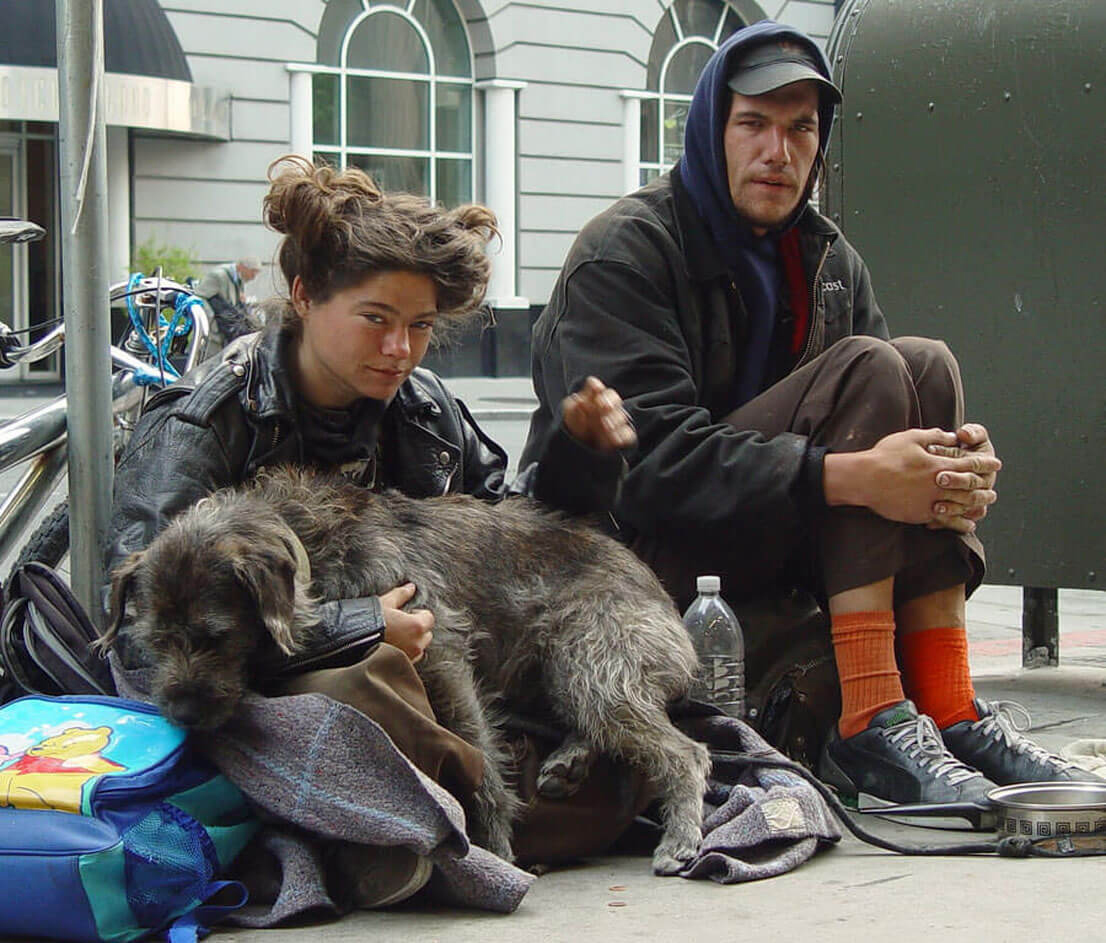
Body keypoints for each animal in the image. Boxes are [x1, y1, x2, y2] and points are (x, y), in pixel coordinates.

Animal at [103, 466, 707, 871]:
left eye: (216, 636)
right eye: (154, 640)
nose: (182, 714)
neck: (310, 543)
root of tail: (666, 598)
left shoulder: (440, 649)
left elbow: (480, 755)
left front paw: (496, 846)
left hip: (594, 661)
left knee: (680, 750)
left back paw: (679, 835)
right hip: (562, 673)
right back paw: (569, 760)